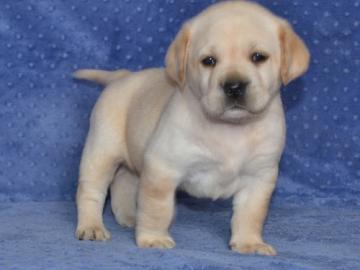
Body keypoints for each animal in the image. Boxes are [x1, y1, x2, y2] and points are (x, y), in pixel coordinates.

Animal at [74, 1, 310, 256]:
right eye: (209, 61)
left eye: (258, 57)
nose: (234, 86)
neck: (230, 129)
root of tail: (122, 76)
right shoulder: (161, 168)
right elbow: (156, 209)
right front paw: (153, 238)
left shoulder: (259, 178)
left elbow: (250, 215)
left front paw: (249, 242)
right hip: (101, 152)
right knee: (91, 191)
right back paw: (91, 226)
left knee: (123, 183)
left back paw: (129, 217)